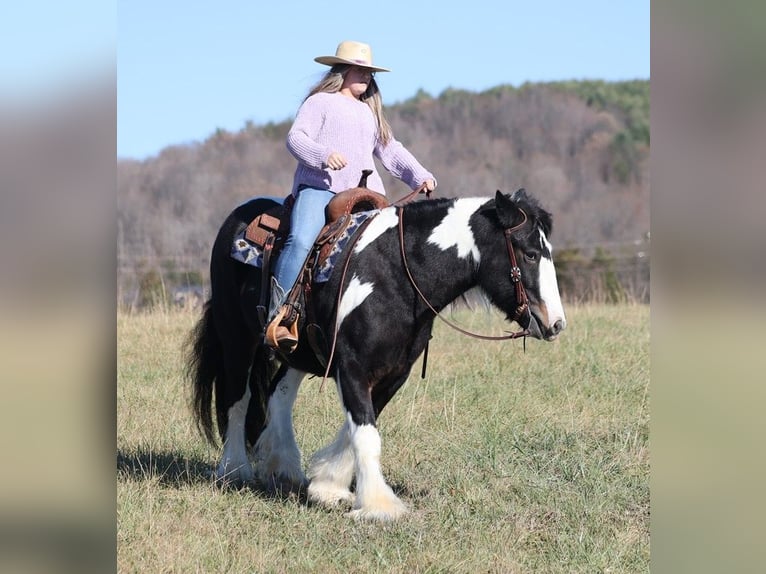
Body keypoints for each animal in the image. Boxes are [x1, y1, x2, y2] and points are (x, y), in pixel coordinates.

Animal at [188, 188, 568, 520]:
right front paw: (378, 507)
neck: (398, 274)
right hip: (236, 338)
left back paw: (285, 466)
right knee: (237, 398)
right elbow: (366, 434)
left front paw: (327, 485)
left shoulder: (394, 372)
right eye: (530, 253)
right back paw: (235, 469)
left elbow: (357, 428)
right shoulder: (352, 366)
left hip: (296, 351)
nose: (555, 323)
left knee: (279, 392)